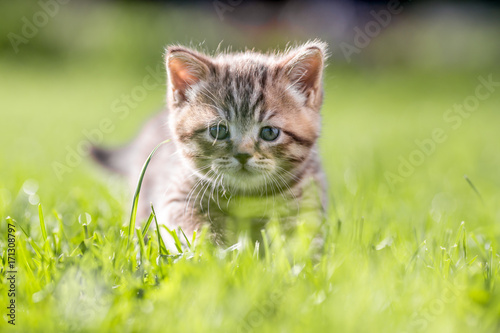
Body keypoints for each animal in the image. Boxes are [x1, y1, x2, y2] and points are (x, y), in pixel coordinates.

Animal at [92, 39, 330, 246]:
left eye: (270, 133)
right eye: (218, 131)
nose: (243, 154)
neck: (246, 196)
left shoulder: (309, 201)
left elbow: (301, 240)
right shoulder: (176, 196)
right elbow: (194, 229)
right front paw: (215, 253)